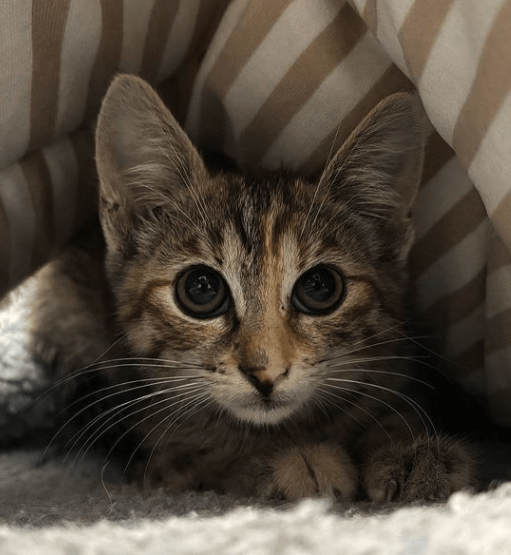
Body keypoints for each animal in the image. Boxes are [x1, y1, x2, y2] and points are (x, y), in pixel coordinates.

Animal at [30, 75, 474, 504]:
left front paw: (413, 451)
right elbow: (200, 447)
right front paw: (290, 460)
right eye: (201, 289)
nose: (265, 373)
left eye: (320, 287)